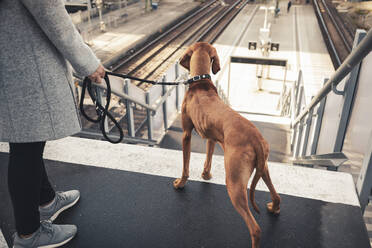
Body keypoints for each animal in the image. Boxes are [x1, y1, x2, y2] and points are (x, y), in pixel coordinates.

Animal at [173, 41, 280, 247]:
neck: (200, 82)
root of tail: (256, 139)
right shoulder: (212, 138)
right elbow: (207, 159)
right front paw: (206, 175)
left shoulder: (186, 135)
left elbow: (185, 166)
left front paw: (180, 183)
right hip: (263, 168)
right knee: (277, 195)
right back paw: (274, 208)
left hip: (234, 182)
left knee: (255, 229)